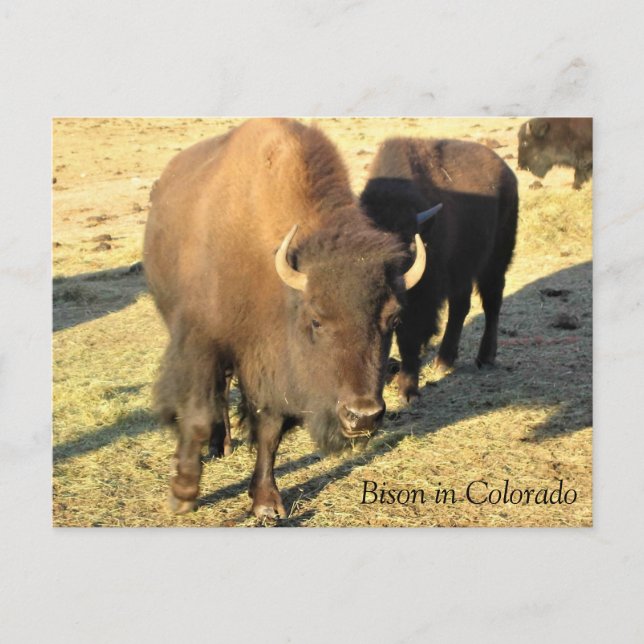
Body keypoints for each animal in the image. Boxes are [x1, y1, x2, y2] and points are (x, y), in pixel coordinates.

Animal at [144, 119, 428, 519]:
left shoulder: (269, 366)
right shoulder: (202, 343)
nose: (363, 416)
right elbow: (196, 415)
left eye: (394, 319)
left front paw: (266, 502)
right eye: (316, 320)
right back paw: (214, 449)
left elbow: (270, 430)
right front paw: (182, 493)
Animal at [360, 137, 519, 402]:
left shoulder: (421, 300)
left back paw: (484, 358)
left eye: (409, 242)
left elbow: (409, 338)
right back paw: (444, 361)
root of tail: (507, 173)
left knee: (492, 304)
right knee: (460, 308)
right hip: (463, 271)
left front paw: (408, 392)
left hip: (495, 262)